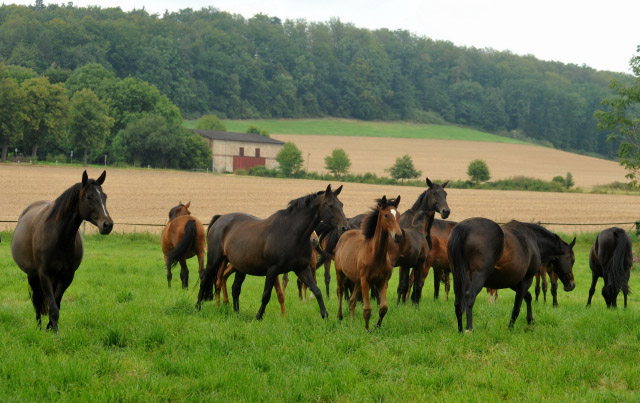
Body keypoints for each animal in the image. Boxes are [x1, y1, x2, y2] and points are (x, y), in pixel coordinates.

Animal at [10, 170, 113, 332]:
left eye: (105, 197)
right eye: (89, 197)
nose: (107, 225)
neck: (60, 238)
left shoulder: (67, 277)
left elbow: (56, 304)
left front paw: (51, 328)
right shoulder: (44, 274)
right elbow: (52, 307)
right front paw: (54, 333)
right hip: (32, 275)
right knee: (36, 302)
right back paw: (38, 327)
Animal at [199, 185, 350, 320]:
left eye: (341, 205)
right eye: (330, 205)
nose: (345, 227)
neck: (291, 233)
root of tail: (220, 219)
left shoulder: (302, 269)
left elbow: (317, 291)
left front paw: (325, 315)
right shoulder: (272, 270)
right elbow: (266, 295)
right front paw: (258, 317)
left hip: (240, 267)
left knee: (235, 288)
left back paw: (236, 313)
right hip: (215, 260)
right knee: (205, 279)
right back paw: (198, 306)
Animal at [332, 196, 402, 332]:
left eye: (398, 215)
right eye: (386, 215)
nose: (398, 236)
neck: (376, 254)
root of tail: (344, 235)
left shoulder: (382, 281)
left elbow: (383, 307)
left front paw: (376, 327)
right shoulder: (366, 280)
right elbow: (367, 309)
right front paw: (366, 329)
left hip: (357, 281)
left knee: (352, 301)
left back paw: (352, 323)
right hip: (340, 273)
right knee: (340, 292)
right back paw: (340, 317)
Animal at [448, 219, 576, 332]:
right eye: (572, 260)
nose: (572, 285)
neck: (533, 239)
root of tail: (465, 227)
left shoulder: (513, 282)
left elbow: (528, 297)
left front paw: (529, 321)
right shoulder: (526, 280)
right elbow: (517, 306)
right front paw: (510, 328)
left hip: (458, 278)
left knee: (458, 302)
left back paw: (460, 330)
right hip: (477, 279)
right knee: (470, 296)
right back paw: (469, 328)